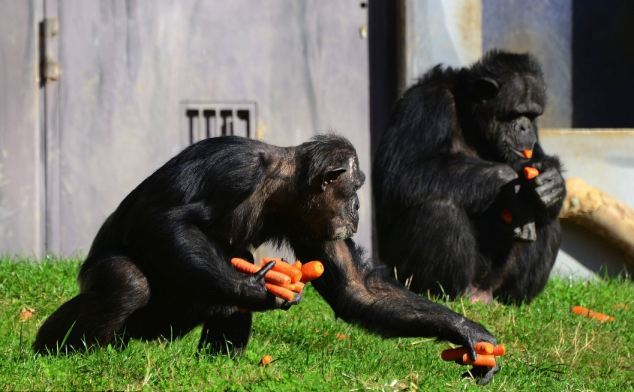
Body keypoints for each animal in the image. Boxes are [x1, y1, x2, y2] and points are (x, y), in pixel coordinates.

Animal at [34, 134, 498, 382]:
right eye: (356, 186)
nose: (357, 210)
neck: (281, 187)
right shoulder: (234, 166)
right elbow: (167, 219)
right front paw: (253, 288)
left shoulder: (315, 226)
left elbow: (356, 288)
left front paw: (470, 335)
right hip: (108, 286)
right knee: (126, 284)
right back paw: (53, 352)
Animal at [370, 49, 564, 304]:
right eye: (516, 113)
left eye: (532, 116)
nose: (525, 127)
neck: (472, 123)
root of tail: (480, 296)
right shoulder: (425, 104)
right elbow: (401, 174)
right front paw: (510, 180)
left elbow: (539, 163)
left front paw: (552, 182)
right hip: (405, 275)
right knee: (440, 210)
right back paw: (443, 293)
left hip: (496, 283)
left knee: (549, 219)